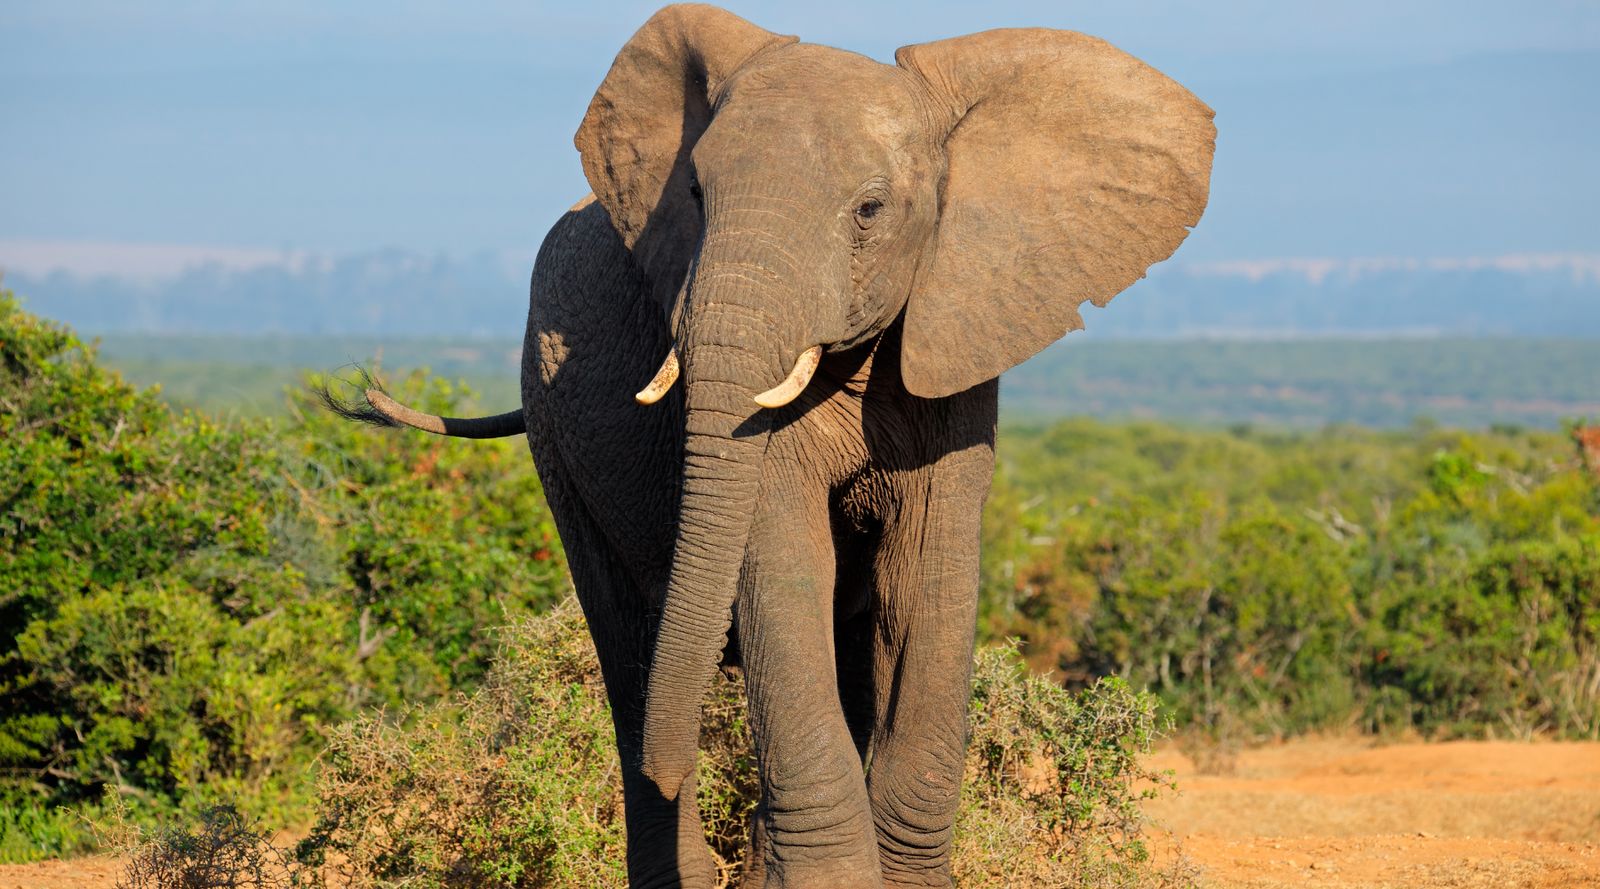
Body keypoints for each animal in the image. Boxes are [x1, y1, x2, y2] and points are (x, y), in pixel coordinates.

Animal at [333, 5, 1213, 887]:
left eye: (870, 210)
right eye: (693, 192)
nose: (674, 761)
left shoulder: (958, 334)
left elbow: (924, 576)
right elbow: (783, 564)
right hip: (552, 420)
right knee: (626, 642)